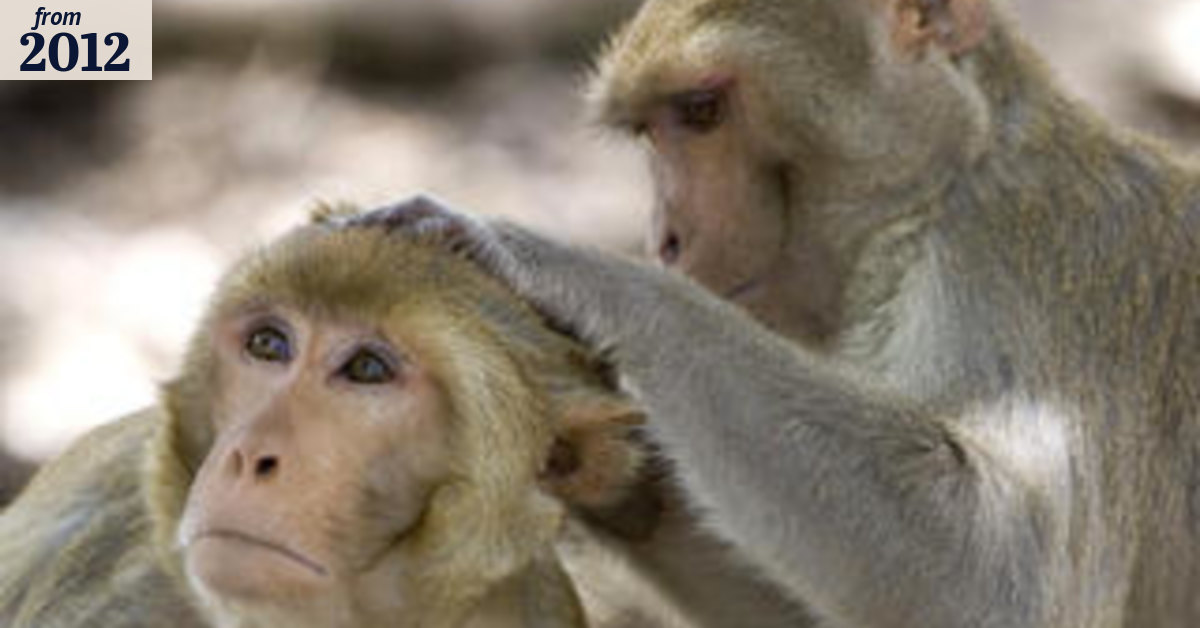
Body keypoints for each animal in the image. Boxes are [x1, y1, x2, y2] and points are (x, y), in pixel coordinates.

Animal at [354, 0, 1200, 621]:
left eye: (700, 110)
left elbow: (995, 572)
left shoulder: (1019, 254)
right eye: (650, 129)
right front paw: (596, 464)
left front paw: (563, 270)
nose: (664, 237)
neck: (943, 189)